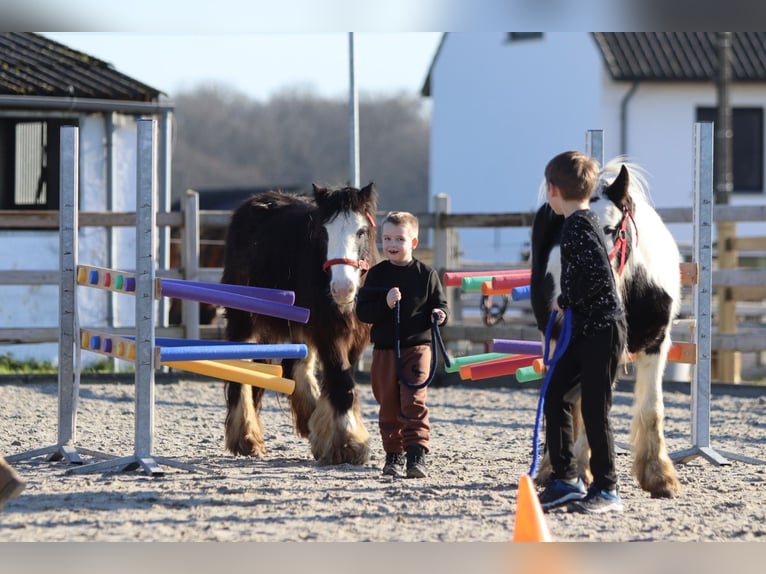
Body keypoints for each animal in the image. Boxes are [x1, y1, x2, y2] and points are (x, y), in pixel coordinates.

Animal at [220, 184, 380, 468]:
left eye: (361, 231)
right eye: (324, 232)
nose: (342, 289)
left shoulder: (355, 338)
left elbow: (341, 379)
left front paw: (330, 435)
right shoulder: (328, 331)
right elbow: (341, 381)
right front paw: (349, 444)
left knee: (294, 368)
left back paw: (307, 419)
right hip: (243, 318)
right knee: (241, 370)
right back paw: (246, 437)